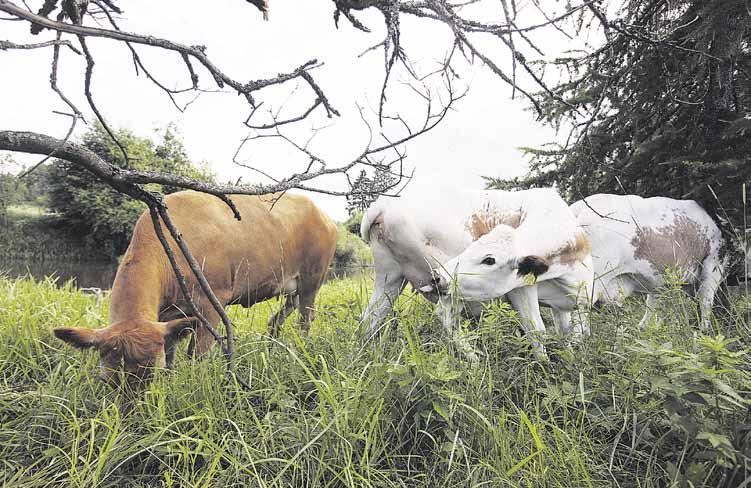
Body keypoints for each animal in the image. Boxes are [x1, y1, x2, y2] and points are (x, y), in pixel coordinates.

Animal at [57, 191, 340, 386]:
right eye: (105, 379)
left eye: (153, 374)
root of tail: (323, 214)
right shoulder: (167, 316)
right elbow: (171, 352)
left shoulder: (212, 301)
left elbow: (197, 354)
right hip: (292, 286)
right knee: (279, 317)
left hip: (313, 279)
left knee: (306, 319)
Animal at [362, 185, 596, 352]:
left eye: (489, 259)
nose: (438, 278)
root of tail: (386, 203)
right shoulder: (521, 288)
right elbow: (536, 330)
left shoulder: (574, 303)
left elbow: (571, 334)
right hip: (450, 286)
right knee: (446, 316)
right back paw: (473, 364)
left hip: (390, 278)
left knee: (370, 319)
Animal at [568, 193, 728, 330]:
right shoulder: (713, 266)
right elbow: (705, 303)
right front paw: (704, 333)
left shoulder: (660, 282)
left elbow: (653, 310)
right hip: (590, 284)